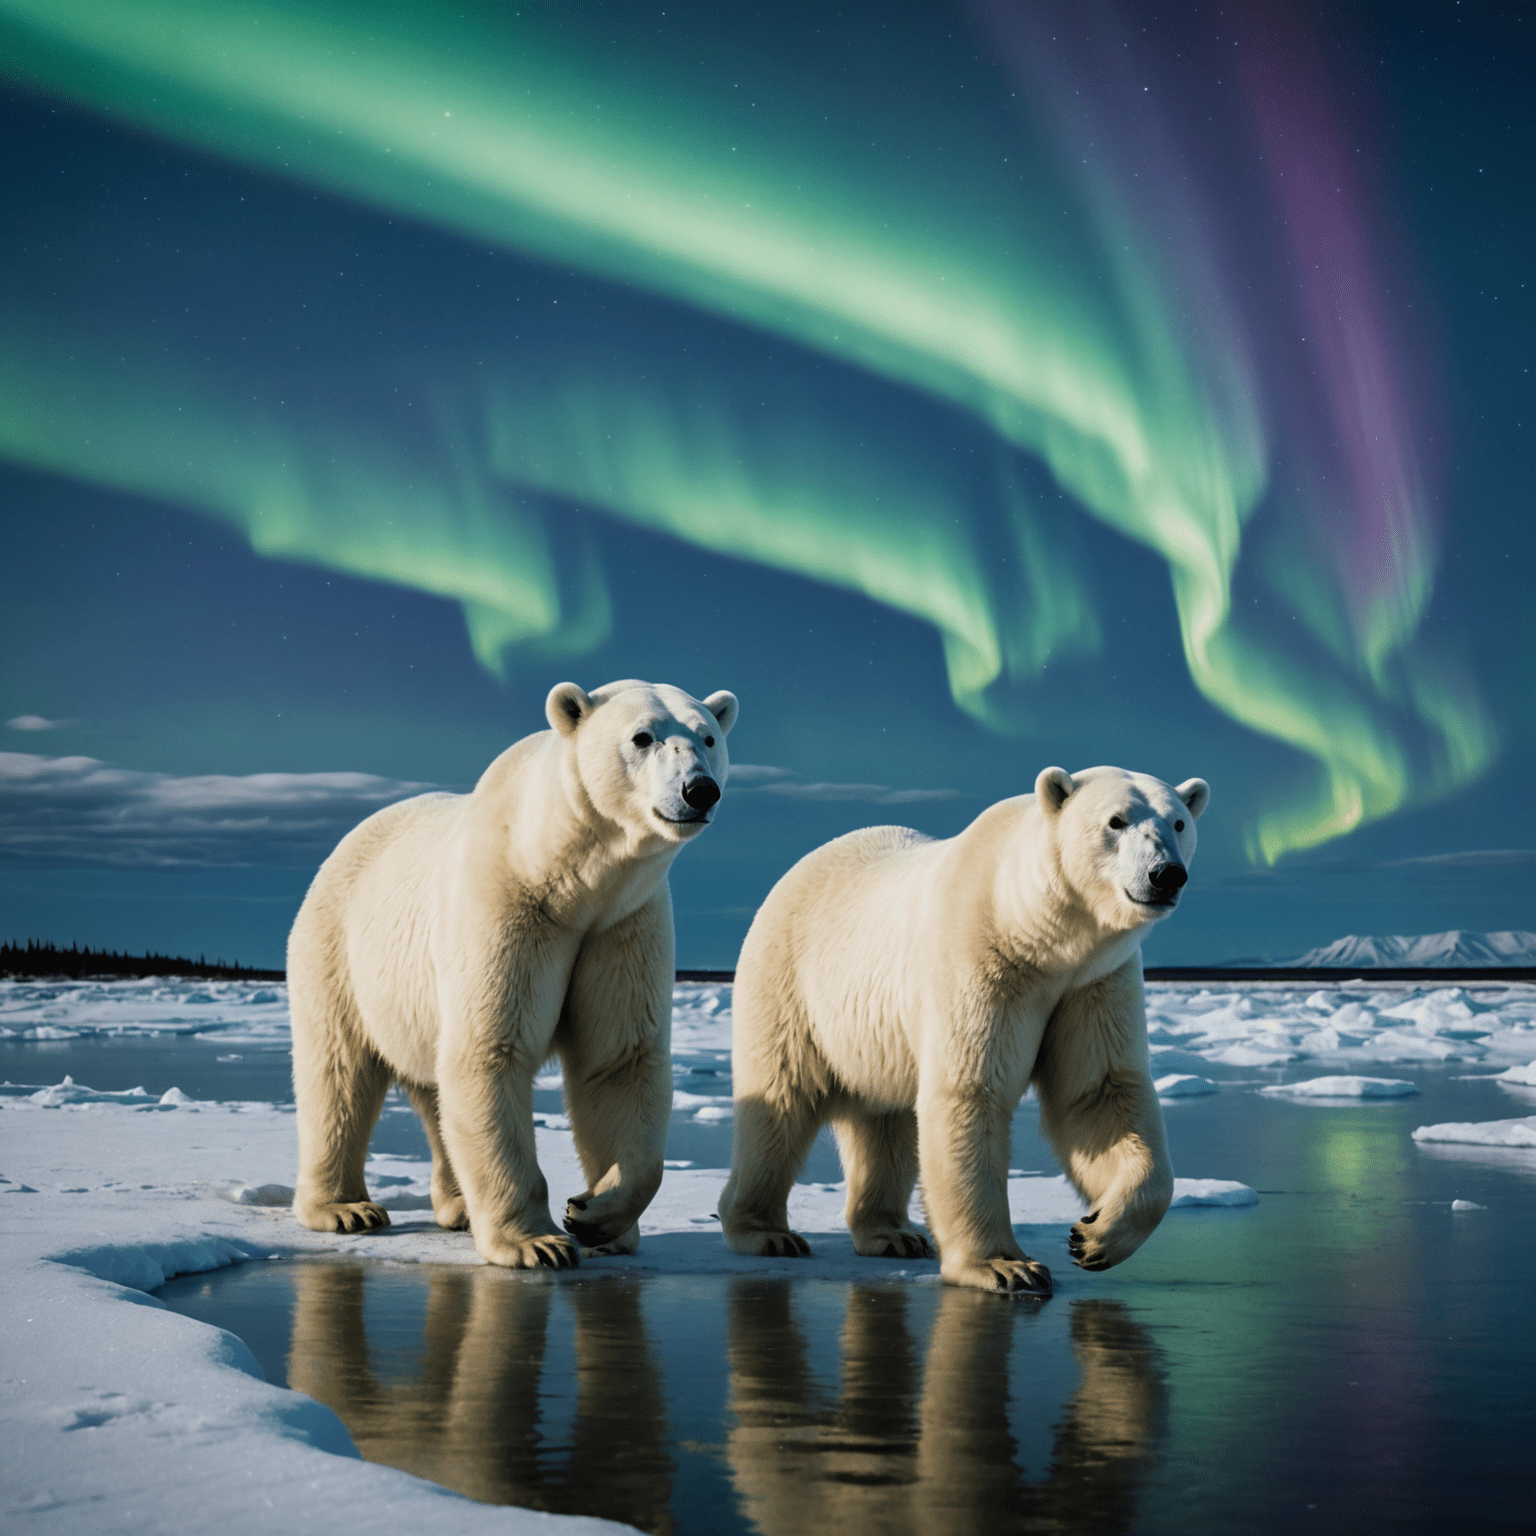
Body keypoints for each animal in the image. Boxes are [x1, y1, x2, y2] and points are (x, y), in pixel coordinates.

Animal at [291, 678, 743, 1265]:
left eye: (708, 737)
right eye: (642, 737)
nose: (699, 791)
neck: (568, 873)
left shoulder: (623, 921)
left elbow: (619, 1059)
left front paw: (598, 1217)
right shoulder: (510, 904)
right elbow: (491, 1049)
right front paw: (538, 1242)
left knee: (433, 1091)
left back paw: (459, 1206)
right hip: (339, 947)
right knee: (338, 1070)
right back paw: (345, 1209)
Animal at [718, 761, 1210, 1290]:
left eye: (1178, 823)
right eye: (1116, 821)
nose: (1166, 874)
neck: (1036, 932)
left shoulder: (1093, 980)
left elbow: (1099, 1094)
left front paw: (1095, 1235)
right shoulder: (980, 958)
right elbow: (971, 1091)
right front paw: (1006, 1266)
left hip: (873, 1034)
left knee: (884, 1119)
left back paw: (892, 1234)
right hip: (790, 983)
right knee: (779, 1101)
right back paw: (766, 1232)